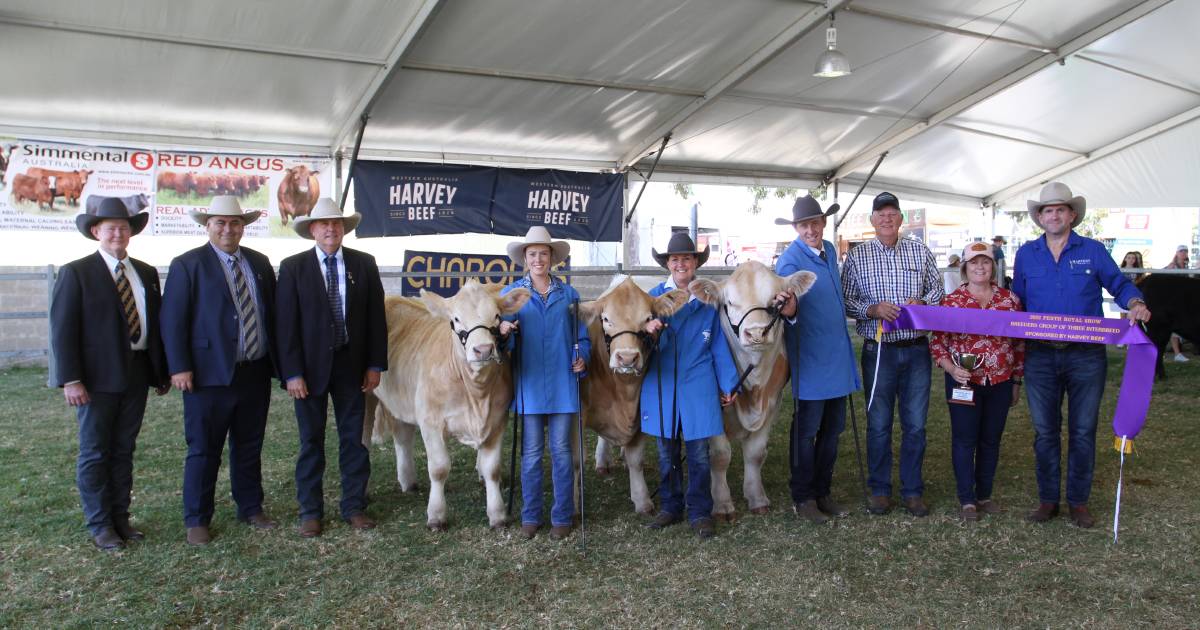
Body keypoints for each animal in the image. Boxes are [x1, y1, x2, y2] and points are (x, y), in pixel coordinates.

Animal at [362, 282, 528, 528]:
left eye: (497, 316)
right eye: (456, 319)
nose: (483, 350)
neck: (477, 395)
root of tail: (391, 298)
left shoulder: (498, 420)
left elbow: (492, 469)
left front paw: (497, 515)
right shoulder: (430, 422)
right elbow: (439, 469)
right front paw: (436, 516)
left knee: (402, 436)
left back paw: (408, 481)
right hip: (366, 394)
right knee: (363, 440)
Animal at [578, 277, 691, 513]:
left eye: (648, 319)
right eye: (606, 319)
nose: (627, 358)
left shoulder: (638, 412)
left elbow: (635, 460)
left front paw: (642, 500)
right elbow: (576, 459)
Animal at [691, 259, 820, 516]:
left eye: (776, 301)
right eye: (729, 303)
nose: (757, 332)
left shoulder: (773, 402)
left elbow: (755, 453)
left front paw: (757, 498)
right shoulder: (711, 406)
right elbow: (720, 456)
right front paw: (722, 504)